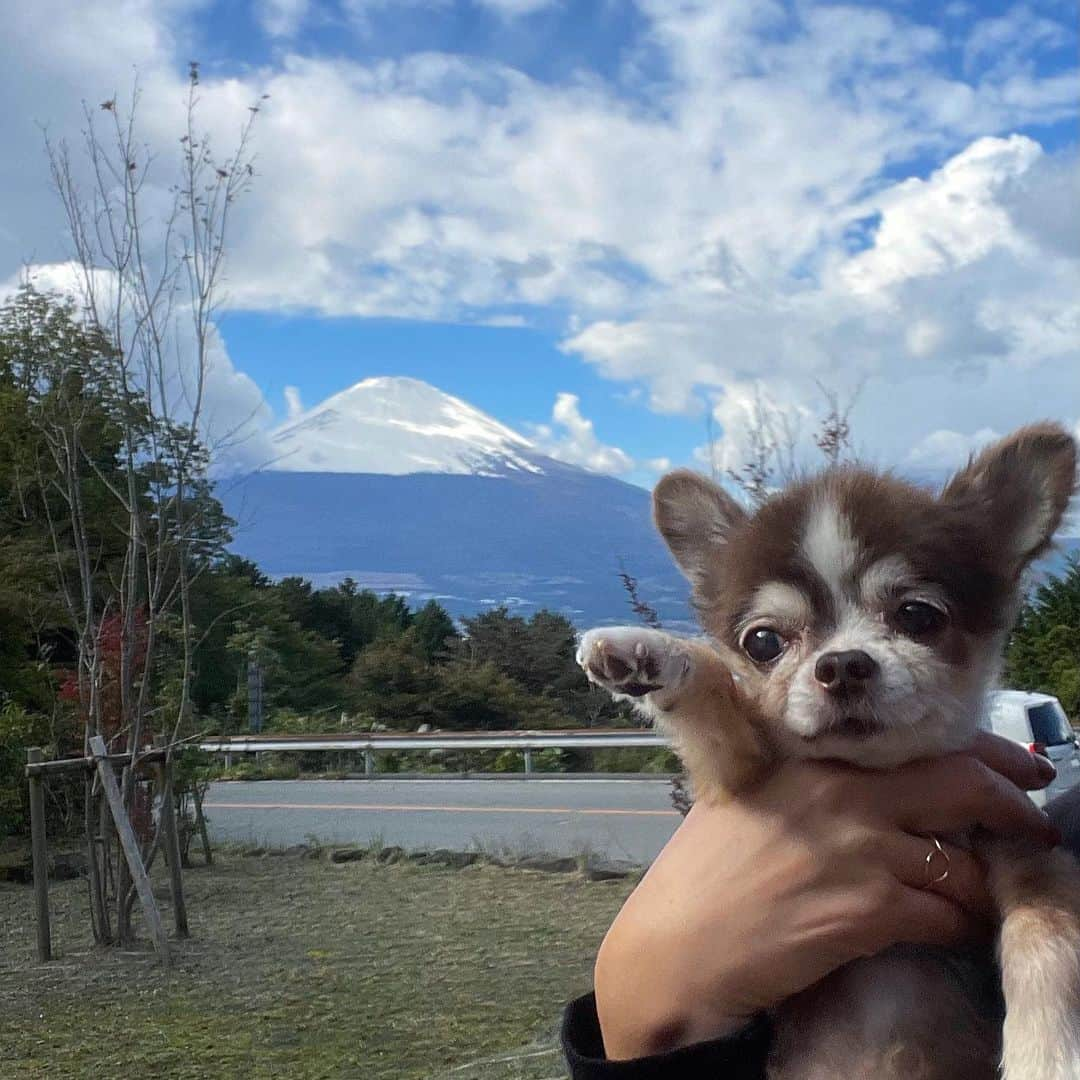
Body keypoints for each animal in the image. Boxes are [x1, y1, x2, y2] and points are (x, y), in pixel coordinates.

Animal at [583, 423, 1080, 1080]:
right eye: (762, 642)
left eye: (917, 616)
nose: (843, 664)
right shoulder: (739, 771)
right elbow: (718, 691)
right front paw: (651, 654)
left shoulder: (1023, 843)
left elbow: (1046, 929)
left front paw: (1048, 1053)